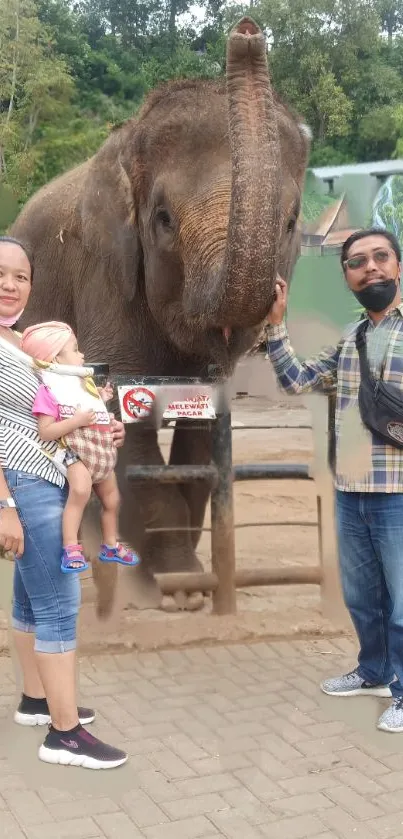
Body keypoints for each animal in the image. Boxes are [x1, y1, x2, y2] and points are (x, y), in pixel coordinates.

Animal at [11, 14, 310, 616]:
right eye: (164, 219)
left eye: (290, 223)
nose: (246, 29)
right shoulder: (105, 277)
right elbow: (128, 425)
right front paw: (175, 591)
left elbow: (203, 437)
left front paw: (187, 580)